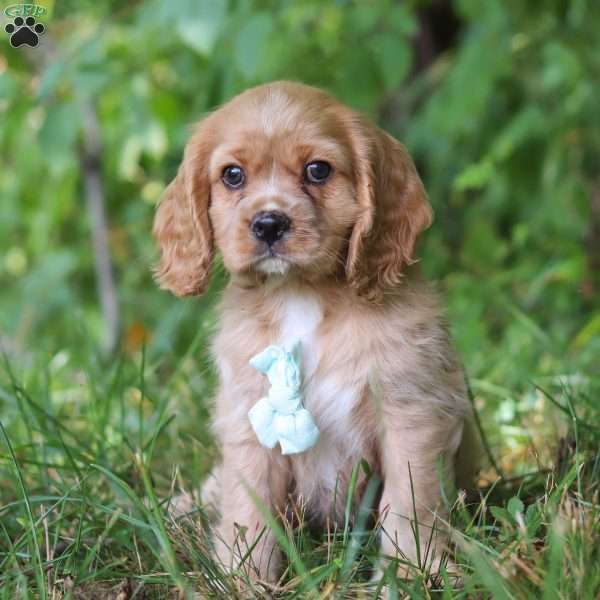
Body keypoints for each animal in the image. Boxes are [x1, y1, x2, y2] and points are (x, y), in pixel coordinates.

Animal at [154, 79, 478, 580]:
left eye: (318, 170)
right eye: (232, 176)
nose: (269, 223)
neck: (301, 296)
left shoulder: (411, 413)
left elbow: (411, 502)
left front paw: (410, 571)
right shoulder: (248, 422)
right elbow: (247, 511)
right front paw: (243, 577)